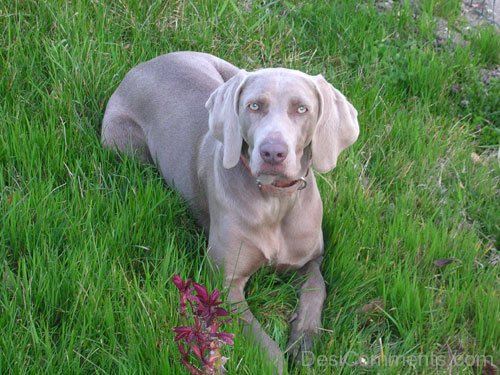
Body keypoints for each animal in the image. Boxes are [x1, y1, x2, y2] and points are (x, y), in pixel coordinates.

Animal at [102, 52, 360, 374]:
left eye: (302, 108)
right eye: (254, 106)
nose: (272, 153)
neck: (274, 201)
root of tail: (147, 63)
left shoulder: (310, 260)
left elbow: (317, 287)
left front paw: (304, 341)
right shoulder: (226, 282)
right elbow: (265, 346)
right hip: (125, 145)